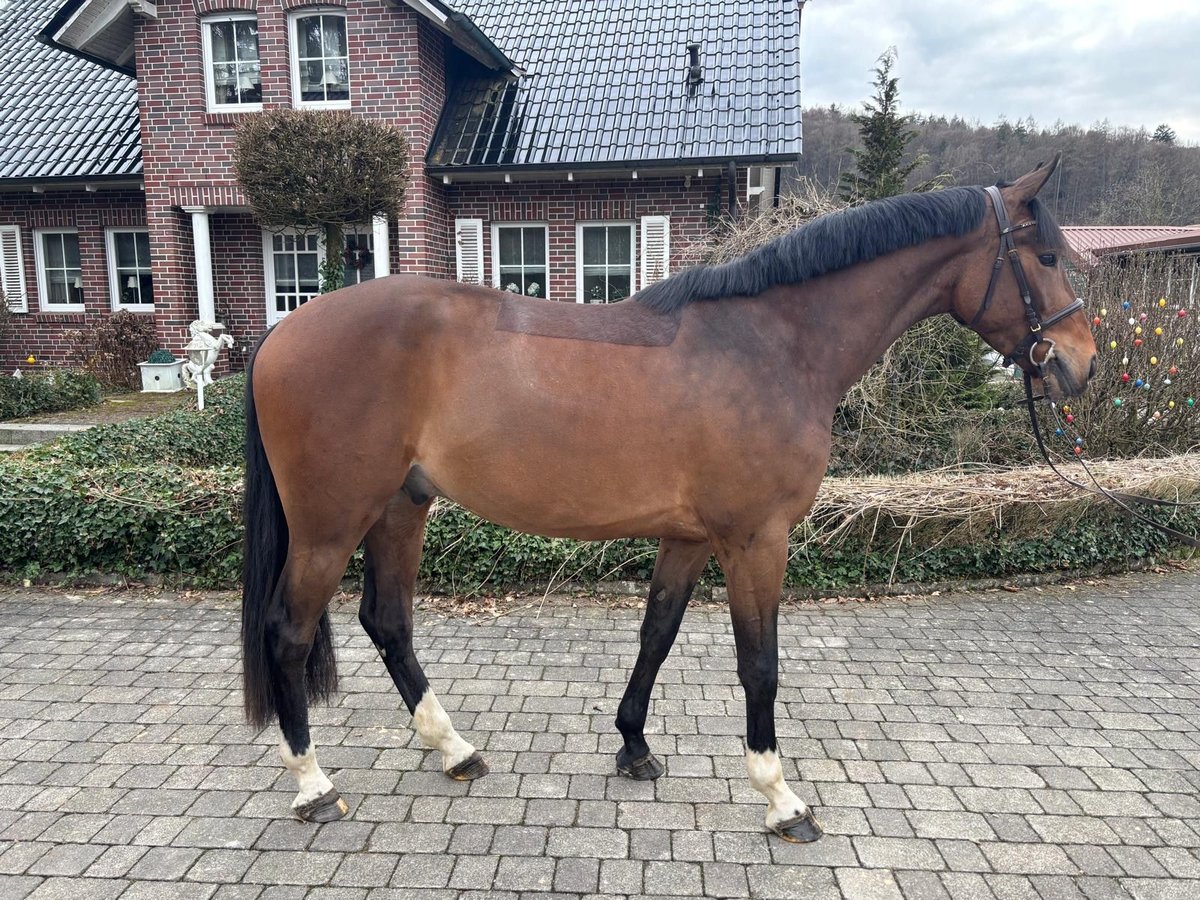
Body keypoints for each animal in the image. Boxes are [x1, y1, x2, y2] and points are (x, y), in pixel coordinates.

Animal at [241, 157, 1096, 842]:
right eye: (1047, 254)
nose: (1080, 363)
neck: (775, 343)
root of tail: (282, 331)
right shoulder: (756, 538)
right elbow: (760, 666)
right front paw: (781, 799)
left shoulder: (689, 537)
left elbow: (657, 635)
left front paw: (633, 746)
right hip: (329, 525)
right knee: (288, 632)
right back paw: (313, 786)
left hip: (400, 507)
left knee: (386, 621)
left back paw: (454, 749)